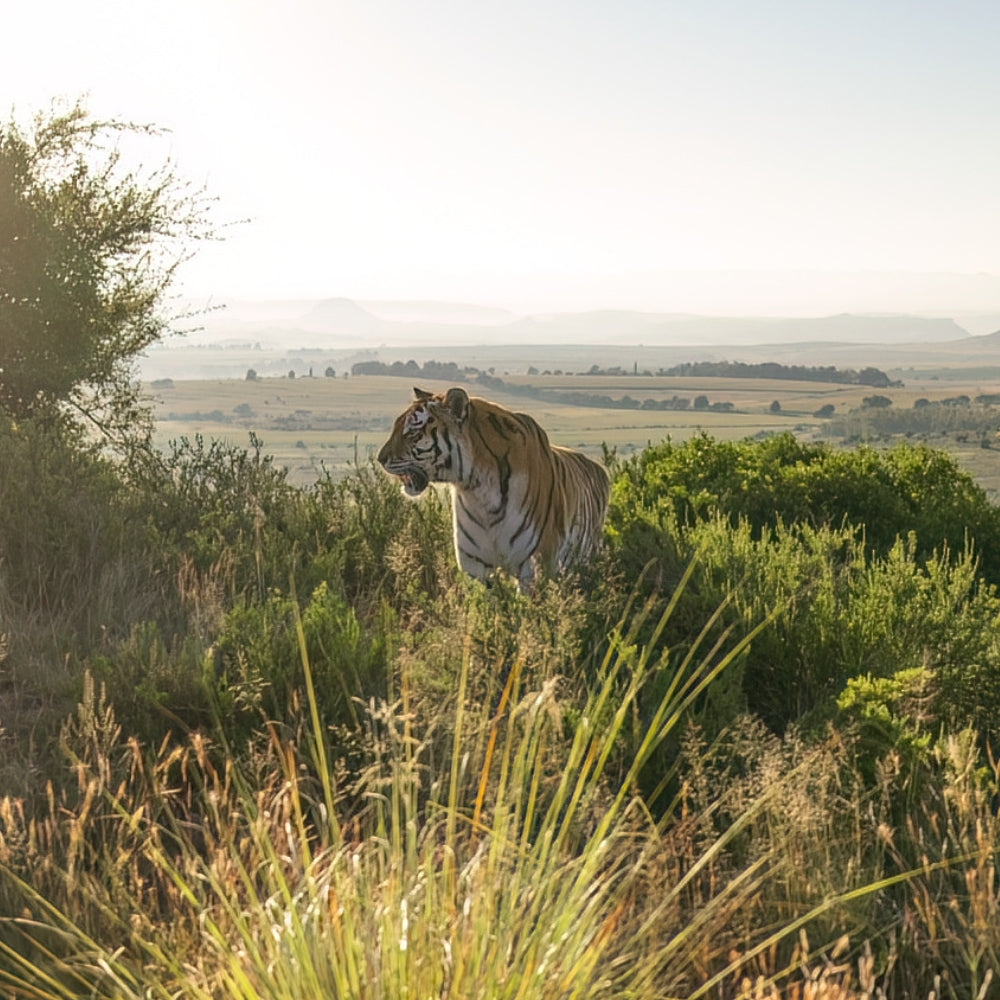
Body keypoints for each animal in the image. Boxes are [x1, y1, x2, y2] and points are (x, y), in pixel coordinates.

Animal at [377, 386, 610, 589]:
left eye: (412, 433)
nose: (380, 459)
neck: (480, 492)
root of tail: (599, 468)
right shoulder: (474, 567)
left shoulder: (534, 567)